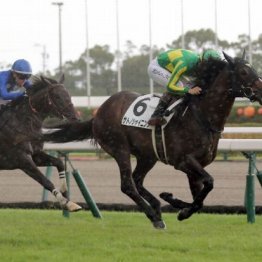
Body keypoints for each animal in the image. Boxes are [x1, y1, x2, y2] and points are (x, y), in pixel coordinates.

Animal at [0, 76, 81, 213]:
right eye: (57, 96)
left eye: (68, 94)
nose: (75, 117)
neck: (22, 123)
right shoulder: (22, 160)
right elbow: (46, 181)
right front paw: (68, 204)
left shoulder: (35, 155)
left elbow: (59, 162)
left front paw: (65, 192)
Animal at [42, 52, 262, 228]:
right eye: (244, 72)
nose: (260, 90)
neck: (201, 116)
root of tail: (98, 113)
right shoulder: (184, 161)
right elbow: (209, 182)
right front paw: (176, 205)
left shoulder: (196, 165)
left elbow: (199, 200)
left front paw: (175, 203)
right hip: (120, 148)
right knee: (128, 184)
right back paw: (153, 216)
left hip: (148, 156)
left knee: (138, 180)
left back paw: (156, 206)